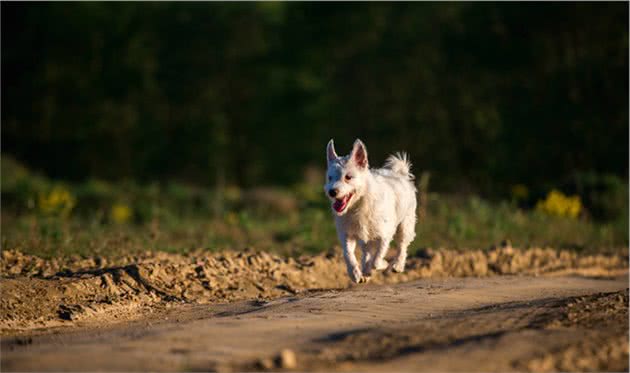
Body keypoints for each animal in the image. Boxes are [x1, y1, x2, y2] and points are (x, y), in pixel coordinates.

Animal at [326, 139, 420, 282]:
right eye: (330, 178)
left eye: (348, 177)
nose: (332, 191)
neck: (359, 205)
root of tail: (400, 174)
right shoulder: (347, 234)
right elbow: (348, 254)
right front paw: (354, 273)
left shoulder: (385, 235)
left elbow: (377, 259)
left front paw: (383, 265)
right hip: (366, 238)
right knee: (367, 252)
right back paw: (365, 270)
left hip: (405, 225)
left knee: (402, 247)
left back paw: (397, 265)